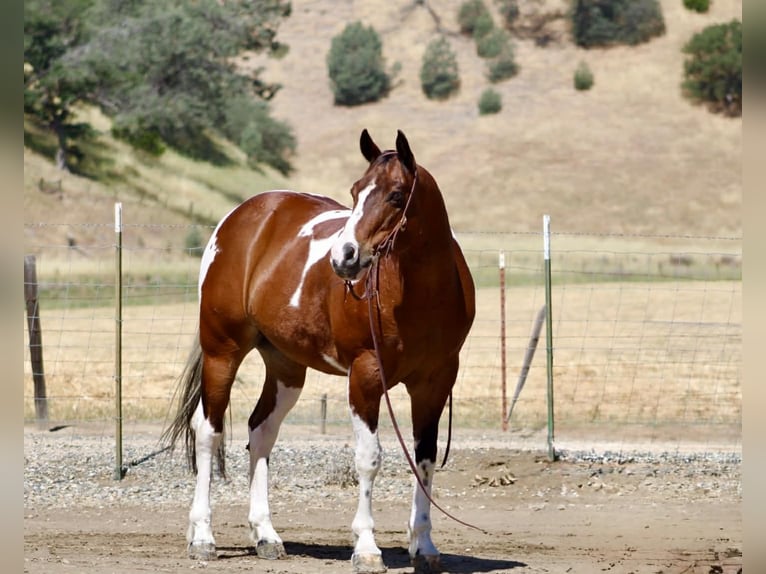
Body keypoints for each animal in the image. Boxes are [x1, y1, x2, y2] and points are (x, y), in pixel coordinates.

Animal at [163, 129, 476, 573]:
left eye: (397, 195)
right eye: (355, 191)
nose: (343, 257)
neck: (420, 294)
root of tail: (241, 216)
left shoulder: (435, 383)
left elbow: (426, 460)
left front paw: (425, 547)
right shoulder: (365, 376)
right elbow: (369, 458)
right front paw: (366, 548)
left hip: (286, 367)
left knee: (261, 431)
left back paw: (266, 535)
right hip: (222, 351)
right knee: (208, 431)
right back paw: (203, 537)